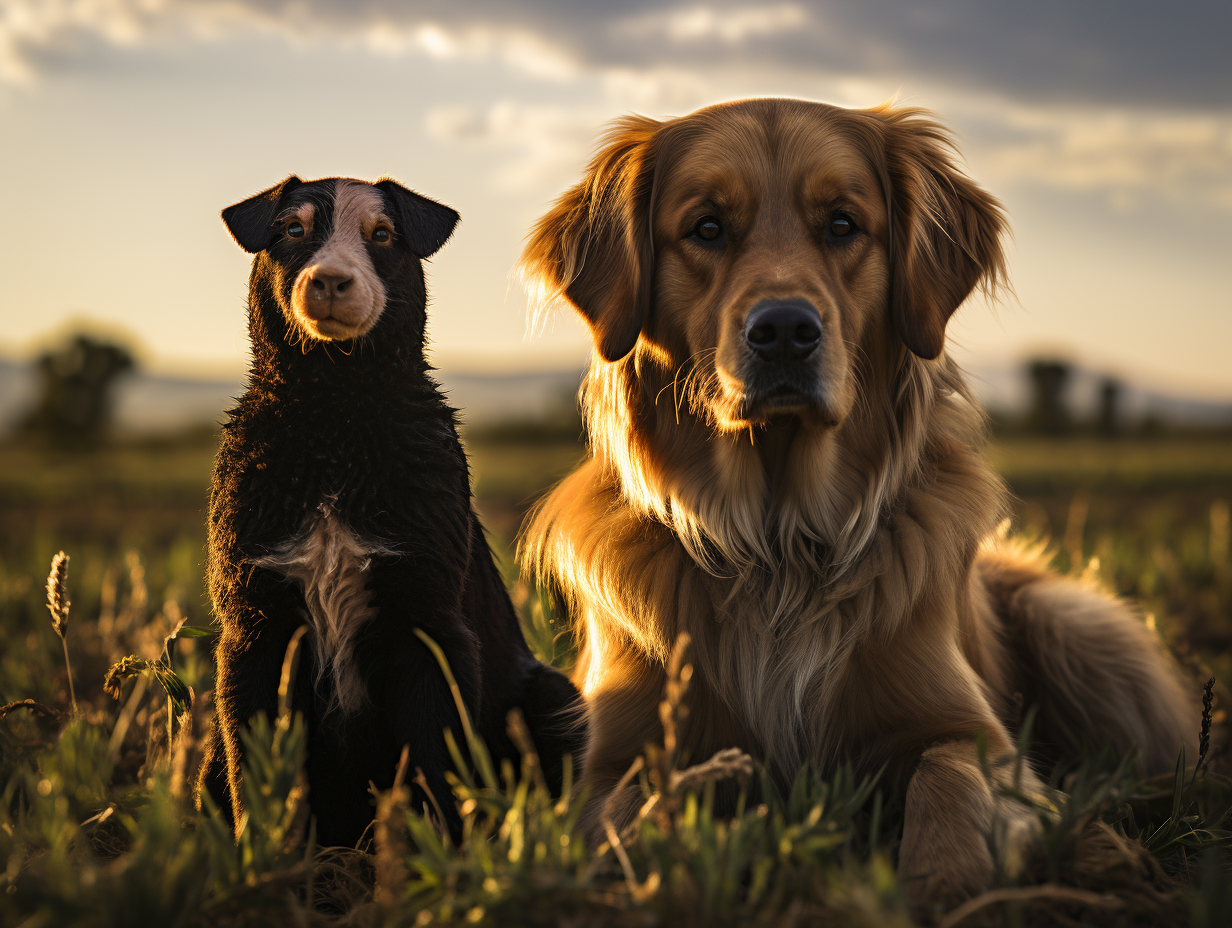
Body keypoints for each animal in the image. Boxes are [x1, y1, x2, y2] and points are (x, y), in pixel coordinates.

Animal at [199, 175, 583, 847]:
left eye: (382, 235)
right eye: (292, 229)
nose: (329, 279)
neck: (333, 416)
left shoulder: (426, 624)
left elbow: (432, 766)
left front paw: (436, 856)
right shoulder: (255, 626)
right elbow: (257, 774)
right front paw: (265, 857)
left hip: (556, 698)